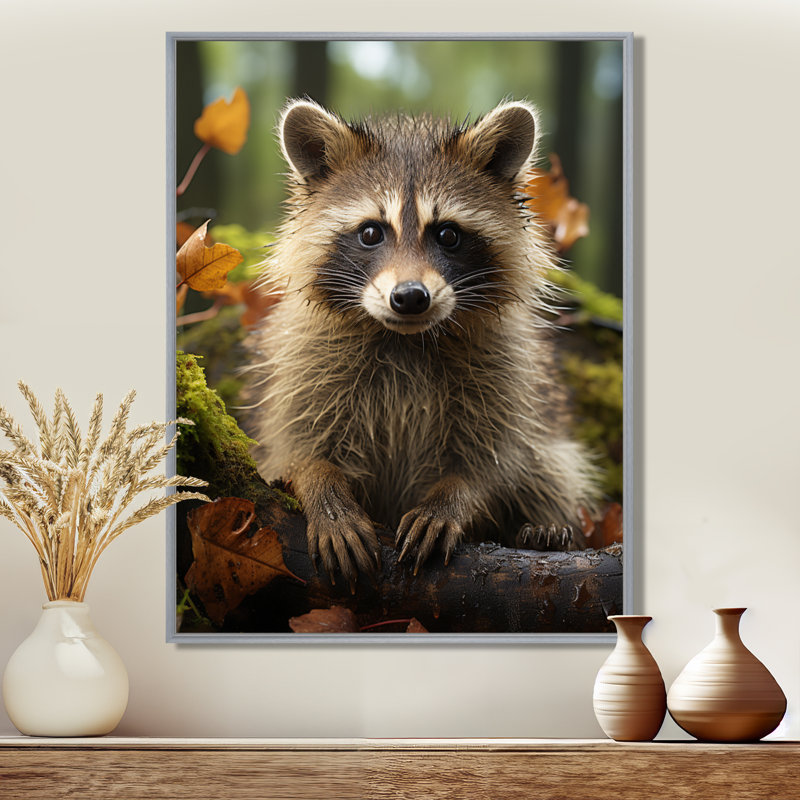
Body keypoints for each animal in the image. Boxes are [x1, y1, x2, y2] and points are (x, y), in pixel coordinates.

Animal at [246, 98, 598, 586]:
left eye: (447, 234)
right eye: (371, 232)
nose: (410, 297)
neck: (404, 340)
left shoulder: (509, 372)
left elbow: (497, 460)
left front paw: (453, 498)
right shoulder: (303, 363)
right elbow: (292, 447)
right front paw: (323, 488)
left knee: (552, 469)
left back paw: (544, 528)